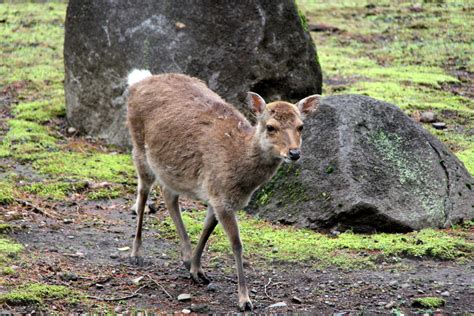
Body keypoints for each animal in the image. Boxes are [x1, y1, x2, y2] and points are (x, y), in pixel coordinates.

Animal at [126, 69, 320, 312]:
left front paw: (197, 270)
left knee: (169, 195)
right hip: (139, 148)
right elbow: (236, 244)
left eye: (301, 126)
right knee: (142, 193)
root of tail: (139, 80)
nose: (294, 153)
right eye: (270, 127)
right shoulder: (221, 196)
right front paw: (245, 300)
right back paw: (136, 253)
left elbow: (207, 229)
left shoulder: (217, 195)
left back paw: (185, 256)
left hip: (170, 169)